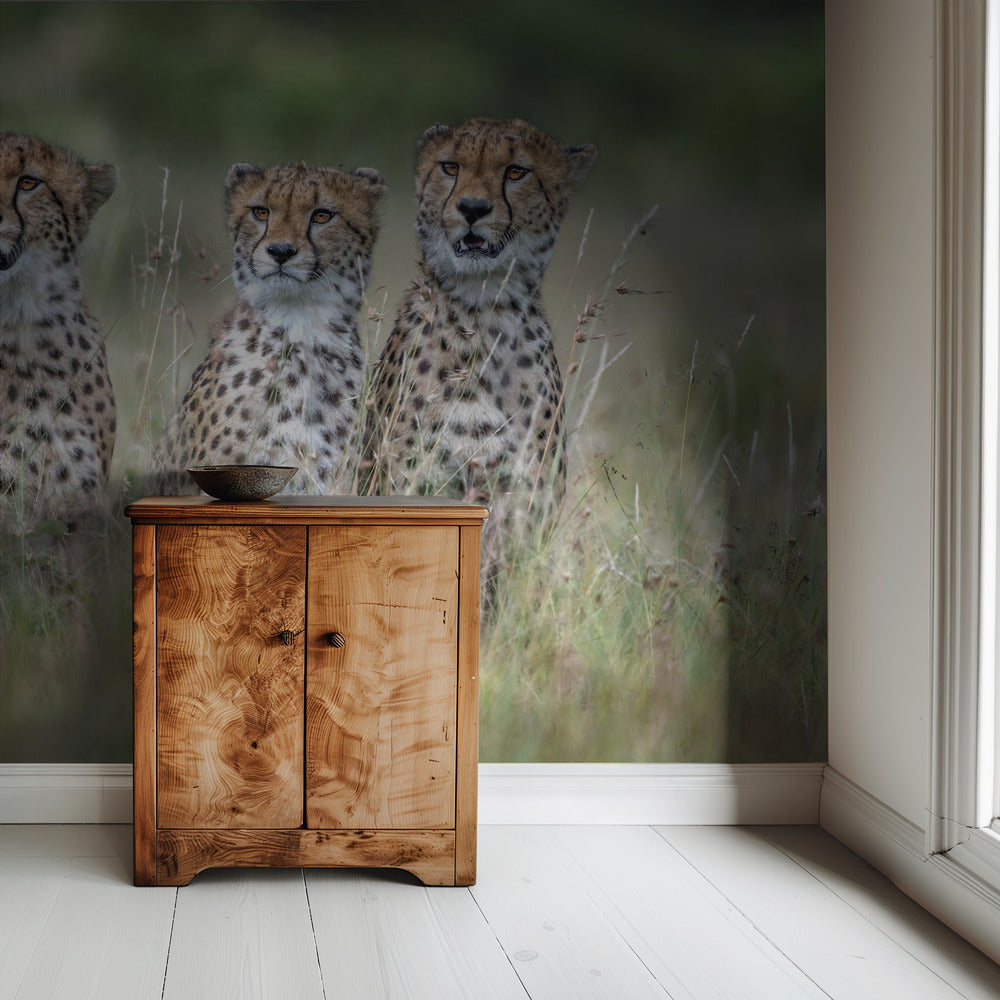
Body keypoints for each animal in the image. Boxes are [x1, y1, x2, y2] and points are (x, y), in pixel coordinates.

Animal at [365, 117, 596, 581]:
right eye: (451, 167)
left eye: (516, 171)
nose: (472, 208)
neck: (482, 313)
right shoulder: (414, 485)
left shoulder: (522, 503)